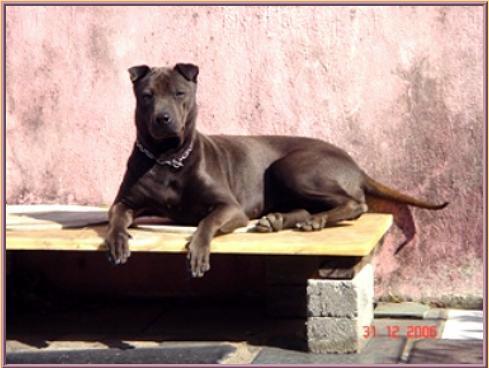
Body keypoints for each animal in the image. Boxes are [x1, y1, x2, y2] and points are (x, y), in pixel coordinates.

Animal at [105, 62, 448, 276]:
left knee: (354, 203)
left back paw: (316, 220)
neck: (167, 158)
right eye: (147, 96)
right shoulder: (126, 201)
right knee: (306, 208)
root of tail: (355, 164)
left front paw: (199, 249)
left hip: (290, 168)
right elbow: (116, 217)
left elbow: (206, 222)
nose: (163, 118)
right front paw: (116, 239)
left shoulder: (229, 207)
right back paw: (281, 220)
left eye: (179, 93)